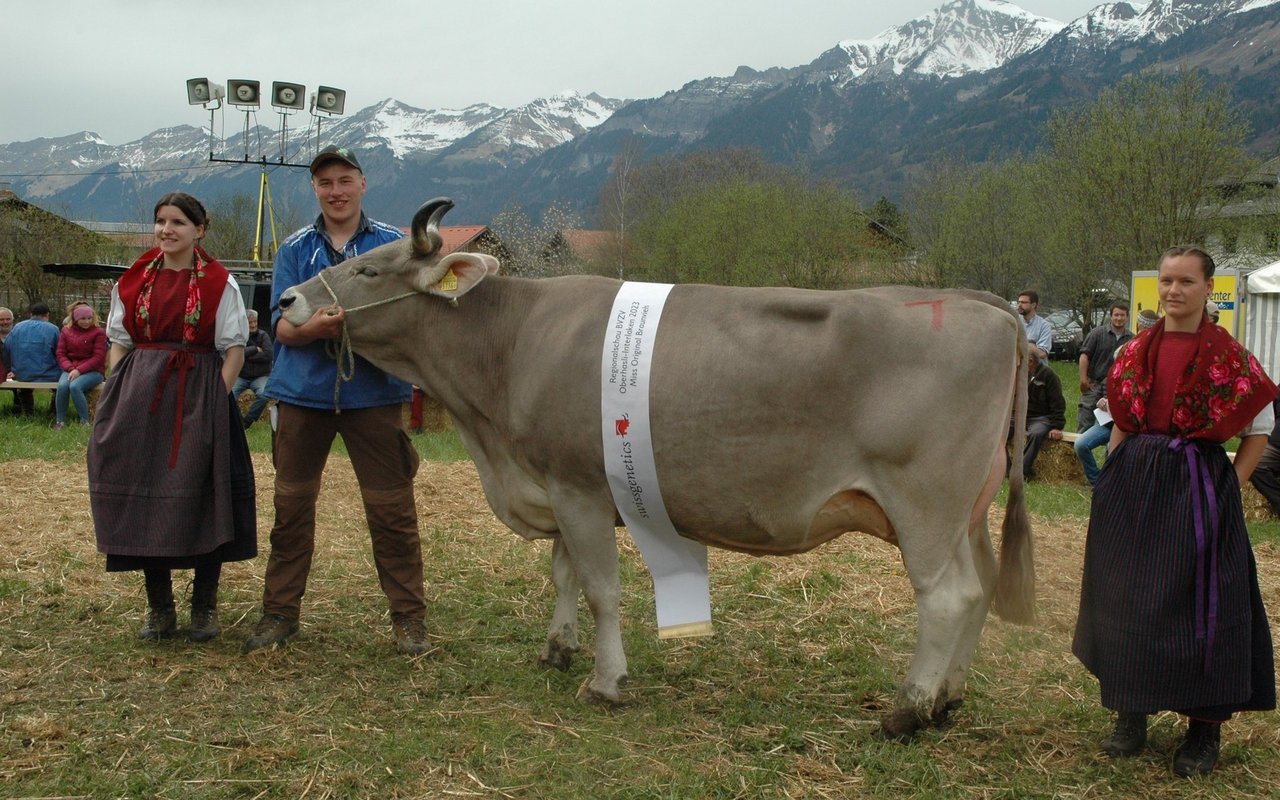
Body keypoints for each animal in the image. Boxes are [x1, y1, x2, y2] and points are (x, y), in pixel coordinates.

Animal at [277, 197, 1034, 741]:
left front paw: (605, 682)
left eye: (369, 269)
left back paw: (907, 710)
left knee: (948, 597)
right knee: (982, 586)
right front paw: (557, 650)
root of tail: (985, 304)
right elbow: (563, 574)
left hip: (925, 502)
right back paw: (949, 699)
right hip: (969, 510)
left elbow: (601, 589)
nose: (286, 301)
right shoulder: (555, 484)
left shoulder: (579, 486)